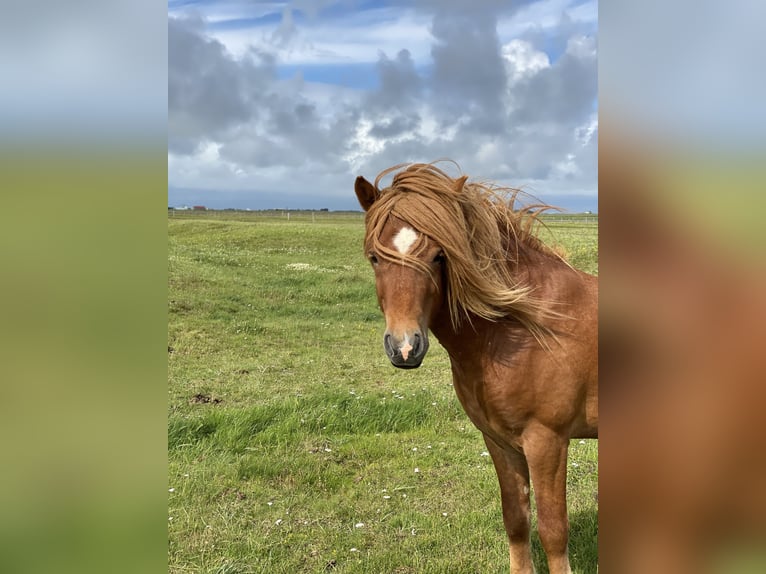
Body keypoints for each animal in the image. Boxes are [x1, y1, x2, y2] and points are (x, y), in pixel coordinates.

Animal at [354, 162, 598, 574]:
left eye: (439, 256)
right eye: (374, 257)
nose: (405, 347)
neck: (523, 327)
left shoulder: (547, 442)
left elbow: (553, 529)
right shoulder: (500, 441)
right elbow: (516, 520)